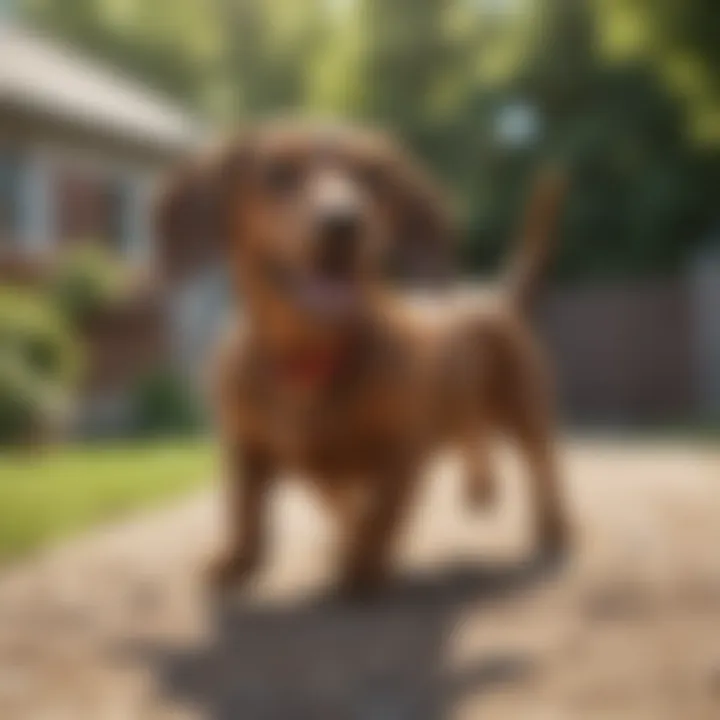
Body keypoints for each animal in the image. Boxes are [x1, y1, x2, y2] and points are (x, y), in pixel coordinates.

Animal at [158, 122, 568, 596]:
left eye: (373, 178)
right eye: (278, 173)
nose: (344, 222)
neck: (307, 355)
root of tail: (494, 293)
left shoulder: (402, 453)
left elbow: (381, 516)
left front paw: (360, 564)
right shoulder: (254, 448)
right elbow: (248, 510)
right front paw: (237, 559)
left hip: (523, 408)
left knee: (543, 466)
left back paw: (554, 527)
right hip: (466, 408)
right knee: (474, 438)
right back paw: (481, 491)